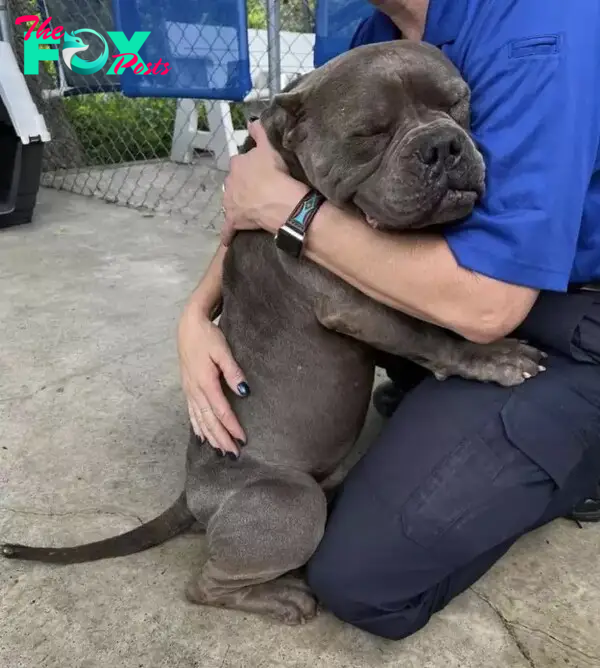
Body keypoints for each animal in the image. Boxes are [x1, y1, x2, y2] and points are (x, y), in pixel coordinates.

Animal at [0, 43, 548, 628]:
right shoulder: (356, 306)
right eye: (369, 132)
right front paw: (493, 357)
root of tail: (192, 495)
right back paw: (285, 597)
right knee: (206, 585)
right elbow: (428, 336)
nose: (442, 144)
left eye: (457, 103)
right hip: (292, 502)